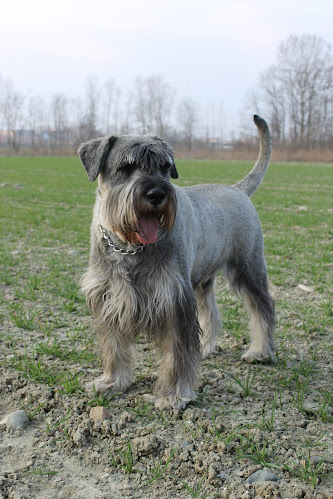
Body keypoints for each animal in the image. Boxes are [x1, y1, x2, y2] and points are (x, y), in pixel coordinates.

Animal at [78, 116, 274, 410]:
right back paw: (205, 347)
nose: (157, 194)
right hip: (202, 279)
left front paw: (172, 395)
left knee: (263, 308)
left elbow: (177, 353)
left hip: (248, 269)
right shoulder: (108, 297)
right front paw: (112, 381)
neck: (129, 248)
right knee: (210, 312)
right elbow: (113, 346)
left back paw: (261, 351)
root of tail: (237, 190)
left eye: (165, 168)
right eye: (126, 166)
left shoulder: (174, 299)